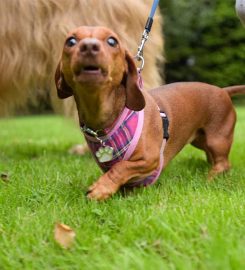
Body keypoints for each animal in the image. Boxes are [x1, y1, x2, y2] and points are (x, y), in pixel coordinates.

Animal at [55, 26, 245, 199]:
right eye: (70, 41)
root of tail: (223, 90)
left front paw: (101, 188)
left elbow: (120, 168)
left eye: (112, 41)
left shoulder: (150, 159)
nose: (89, 46)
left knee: (223, 163)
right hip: (199, 139)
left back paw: (211, 177)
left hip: (217, 139)